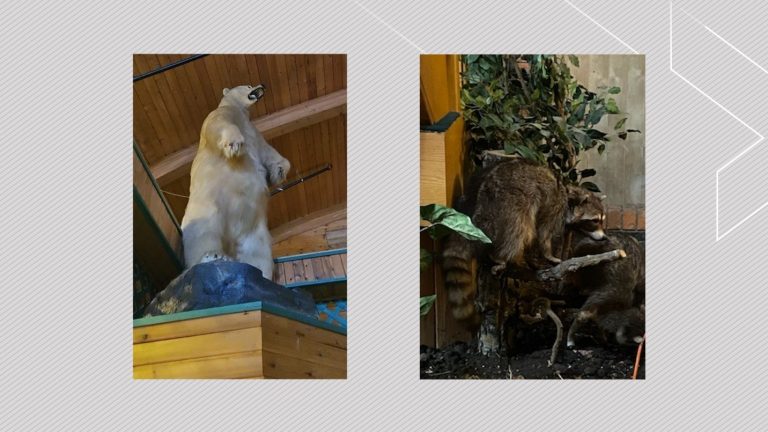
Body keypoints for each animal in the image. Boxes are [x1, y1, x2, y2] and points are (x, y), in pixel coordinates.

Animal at [180, 84, 290, 281]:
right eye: (248, 86)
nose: (261, 86)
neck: (240, 111)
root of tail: (230, 237)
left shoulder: (255, 132)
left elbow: (267, 151)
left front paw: (279, 171)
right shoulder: (220, 114)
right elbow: (218, 125)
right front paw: (234, 143)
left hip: (252, 229)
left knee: (257, 252)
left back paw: (260, 274)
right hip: (207, 206)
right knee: (202, 233)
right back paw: (210, 256)